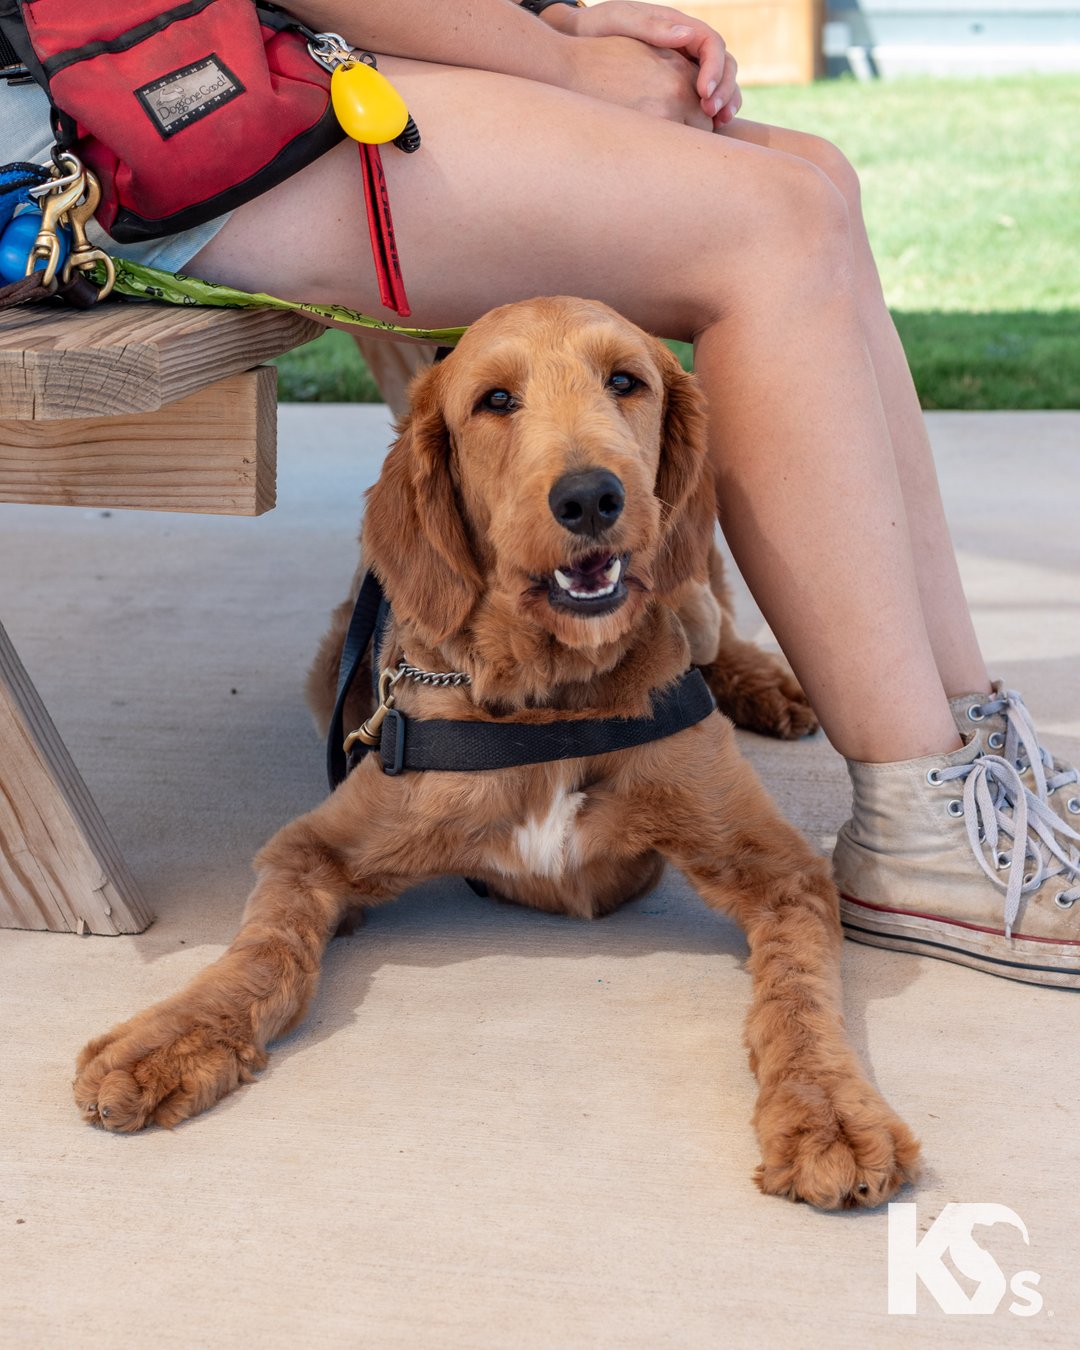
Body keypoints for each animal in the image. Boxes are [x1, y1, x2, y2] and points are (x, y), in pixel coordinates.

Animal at [73, 301, 918, 1209]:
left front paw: (828, 1112)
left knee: (713, 612)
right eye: (495, 400)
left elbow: (798, 993)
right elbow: (265, 951)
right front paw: (169, 1037)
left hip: (691, 591)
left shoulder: (778, 864)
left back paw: (764, 683)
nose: (590, 497)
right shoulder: (310, 846)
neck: (555, 696)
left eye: (626, 381)